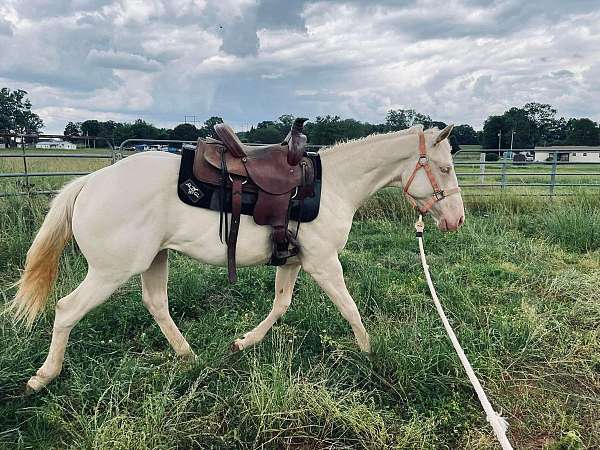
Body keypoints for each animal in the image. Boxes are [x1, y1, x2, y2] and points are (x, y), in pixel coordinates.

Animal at [8, 123, 464, 390]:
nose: (456, 219)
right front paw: (371, 355)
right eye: (443, 168)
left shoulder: (292, 261)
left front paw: (243, 343)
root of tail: (89, 183)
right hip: (111, 271)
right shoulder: (323, 263)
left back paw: (190, 358)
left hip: (153, 260)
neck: (333, 185)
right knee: (67, 310)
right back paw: (43, 377)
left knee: (156, 304)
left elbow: (280, 305)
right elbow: (349, 307)